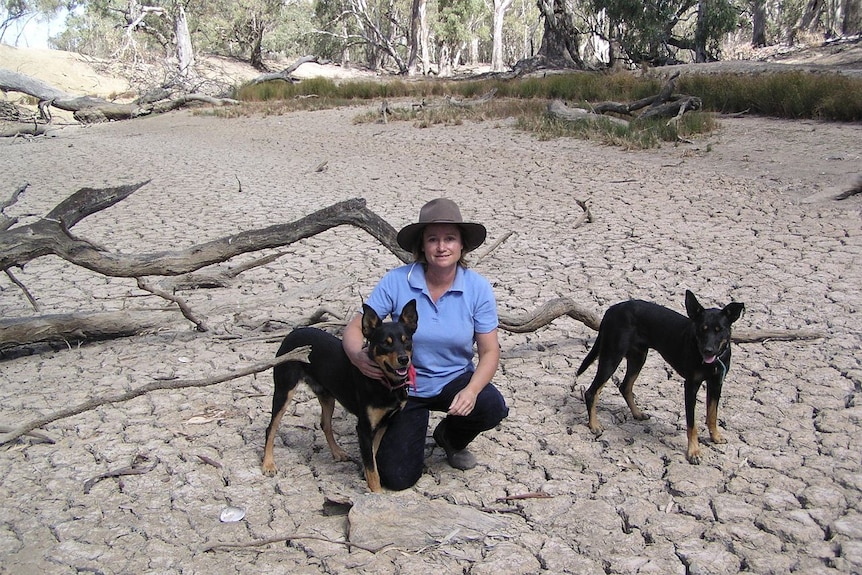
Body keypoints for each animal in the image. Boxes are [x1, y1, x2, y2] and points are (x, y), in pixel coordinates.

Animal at [264, 300, 418, 492]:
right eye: (385, 343)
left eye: (407, 341)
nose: (404, 359)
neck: (385, 383)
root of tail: (294, 332)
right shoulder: (364, 428)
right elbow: (372, 467)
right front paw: (376, 492)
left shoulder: (384, 423)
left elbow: (372, 456)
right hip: (284, 391)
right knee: (271, 428)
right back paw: (268, 464)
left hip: (327, 395)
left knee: (325, 424)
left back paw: (337, 452)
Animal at [576, 292, 744, 464]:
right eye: (702, 329)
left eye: (719, 330)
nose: (708, 350)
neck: (711, 361)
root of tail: (611, 309)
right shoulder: (691, 385)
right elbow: (692, 424)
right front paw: (694, 452)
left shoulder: (716, 383)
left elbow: (712, 414)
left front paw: (715, 436)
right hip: (612, 355)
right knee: (591, 392)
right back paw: (594, 425)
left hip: (638, 357)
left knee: (625, 386)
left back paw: (637, 413)